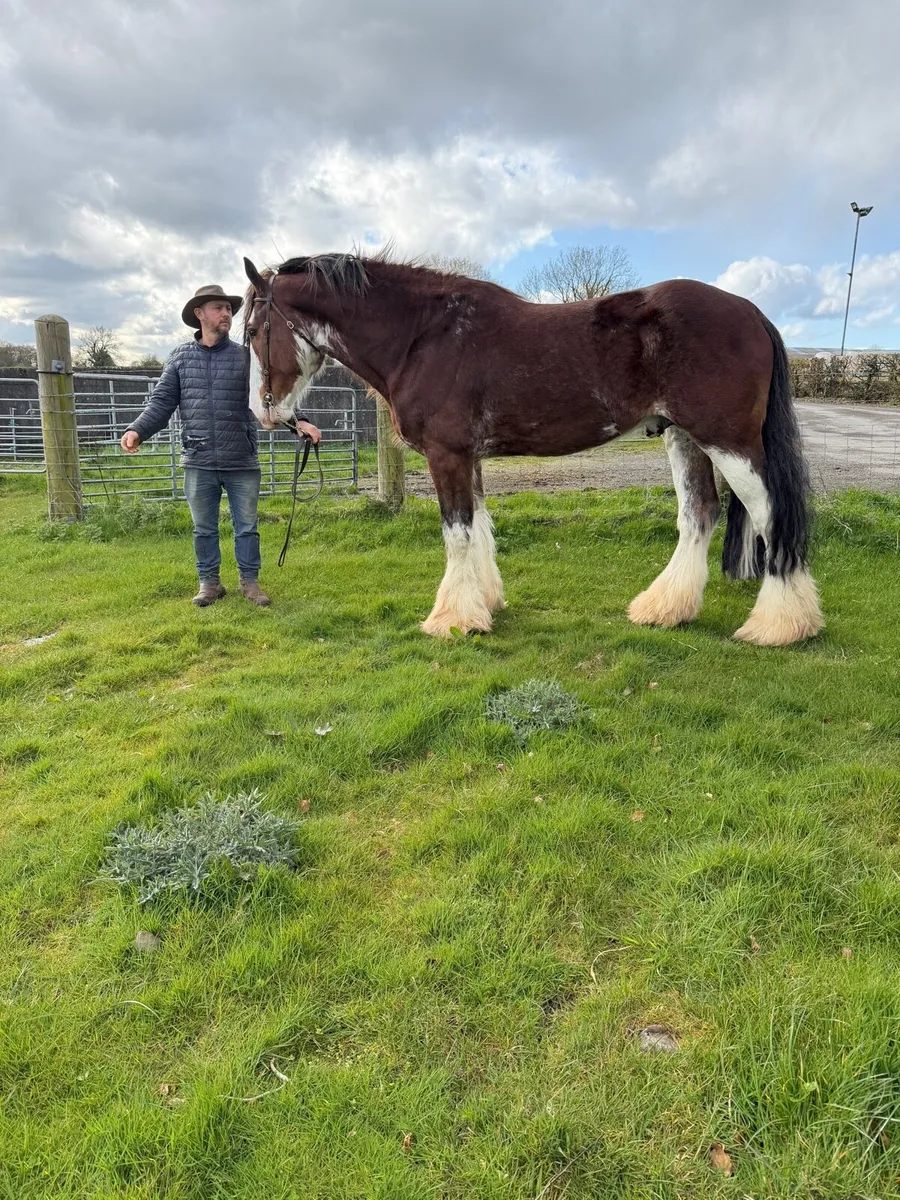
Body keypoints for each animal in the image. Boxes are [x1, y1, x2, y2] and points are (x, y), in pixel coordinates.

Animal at [241, 252, 824, 647]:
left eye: (250, 329)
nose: (264, 413)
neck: (424, 336)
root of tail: (749, 310)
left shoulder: (446, 454)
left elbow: (456, 533)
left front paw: (452, 620)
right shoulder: (467, 456)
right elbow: (478, 528)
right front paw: (485, 604)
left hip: (729, 441)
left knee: (771, 515)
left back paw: (781, 625)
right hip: (683, 436)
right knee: (699, 512)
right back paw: (666, 609)